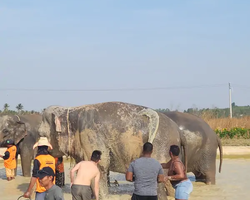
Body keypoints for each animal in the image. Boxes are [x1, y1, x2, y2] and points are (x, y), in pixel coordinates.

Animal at [37, 102, 188, 199]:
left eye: (41, 134)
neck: (70, 111)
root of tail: (179, 133)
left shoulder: (91, 136)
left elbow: (101, 167)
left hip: (162, 145)